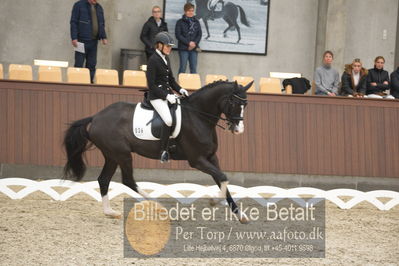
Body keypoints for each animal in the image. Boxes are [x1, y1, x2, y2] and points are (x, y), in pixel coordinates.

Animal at [65, 80, 253, 222]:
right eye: (234, 102)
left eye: (245, 104)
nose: (239, 129)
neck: (198, 116)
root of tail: (96, 117)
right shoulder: (197, 160)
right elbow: (223, 177)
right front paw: (213, 201)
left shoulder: (211, 157)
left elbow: (222, 180)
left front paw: (241, 215)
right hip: (122, 154)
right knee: (128, 180)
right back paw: (162, 209)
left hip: (112, 156)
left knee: (104, 180)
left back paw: (110, 212)